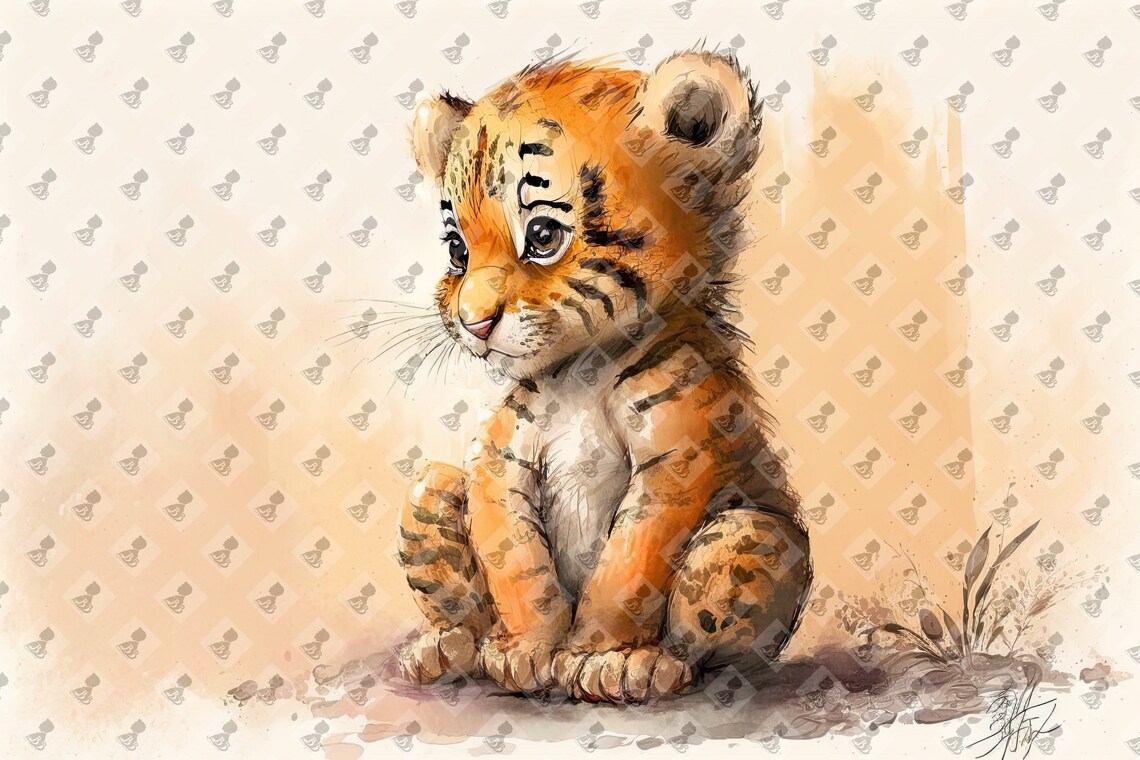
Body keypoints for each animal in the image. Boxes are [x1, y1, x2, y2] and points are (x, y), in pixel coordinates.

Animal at [396, 48, 812, 704]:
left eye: (543, 236)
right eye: (457, 249)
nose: (473, 321)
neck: (580, 375)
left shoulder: (678, 458)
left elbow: (629, 566)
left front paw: (602, 657)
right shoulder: (498, 461)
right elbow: (514, 561)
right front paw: (526, 651)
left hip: (756, 535)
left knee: (714, 652)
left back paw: (658, 666)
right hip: (429, 492)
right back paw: (446, 650)